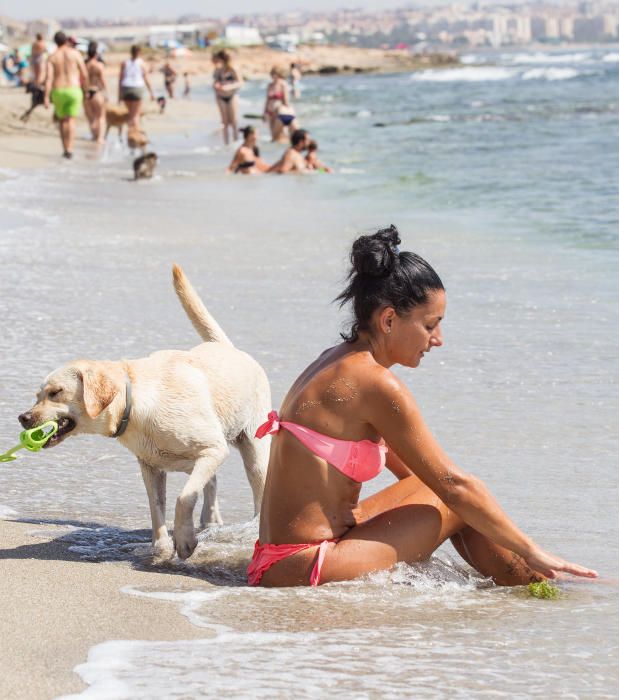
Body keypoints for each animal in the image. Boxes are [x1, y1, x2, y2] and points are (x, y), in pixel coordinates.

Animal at [18, 266, 272, 560]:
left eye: (55, 392)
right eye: (37, 396)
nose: (23, 418)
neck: (136, 402)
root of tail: (228, 347)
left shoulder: (214, 448)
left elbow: (182, 498)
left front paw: (184, 540)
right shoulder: (151, 466)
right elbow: (156, 506)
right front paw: (161, 547)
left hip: (253, 447)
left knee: (255, 484)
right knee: (210, 483)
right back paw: (209, 521)